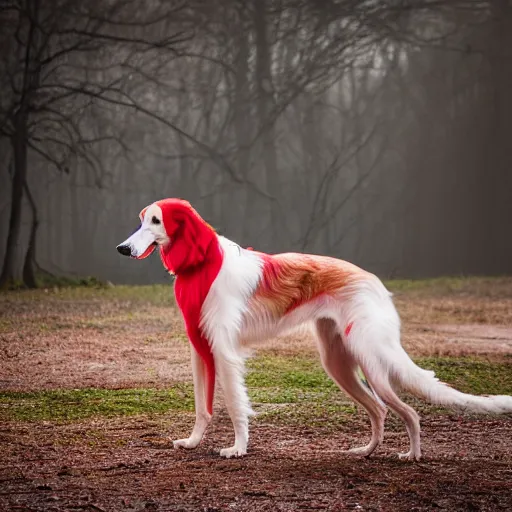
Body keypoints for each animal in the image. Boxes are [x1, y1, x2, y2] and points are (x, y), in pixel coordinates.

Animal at [118, 197, 512, 460]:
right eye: (140, 220)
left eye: (157, 221)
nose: (123, 248)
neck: (202, 263)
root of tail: (373, 282)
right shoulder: (200, 351)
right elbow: (203, 408)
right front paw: (193, 442)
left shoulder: (225, 353)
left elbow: (234, 404)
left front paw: (238, 448)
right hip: (339, 364)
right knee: (380, 411)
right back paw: (366, 451)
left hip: (372, 361)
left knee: (409, 412)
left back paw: (412, 455)